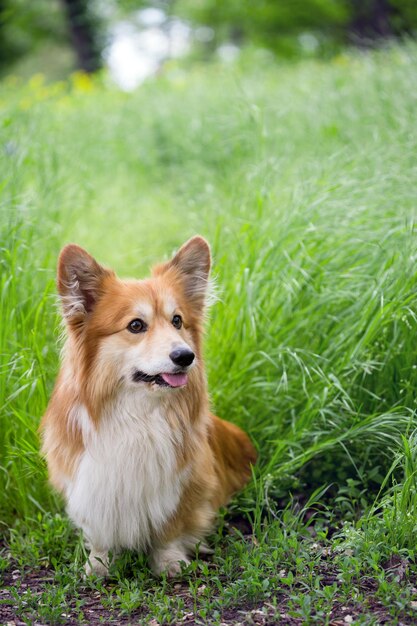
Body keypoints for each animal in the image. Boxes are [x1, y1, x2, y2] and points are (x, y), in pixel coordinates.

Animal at [42, 235, 256, 576]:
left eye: (177, 320)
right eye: (135, 326)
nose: (186, 356)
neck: (137, 414)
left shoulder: (181, 485)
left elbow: (170, 526)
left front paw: (168, 562)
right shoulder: (88, 483)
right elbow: (99, 532)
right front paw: (99, 565)